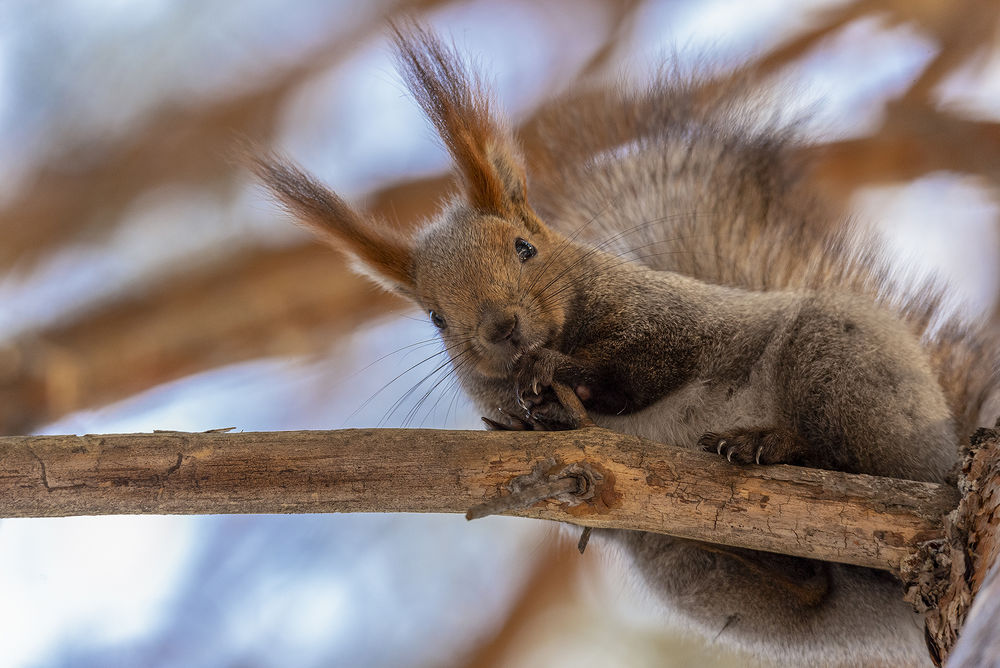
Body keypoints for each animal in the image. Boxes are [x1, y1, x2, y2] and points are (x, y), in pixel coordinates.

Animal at [254, 24, 996, 668]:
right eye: (434, 316)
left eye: (525, 248)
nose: (500, 329)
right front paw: (532, 416)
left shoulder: (673, 317)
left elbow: (654, 360)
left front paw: (561, 373)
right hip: (675, 558)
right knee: (805, 582)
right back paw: (778, 558)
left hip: (844, 365)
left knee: (869, 464)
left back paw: (774, 444)